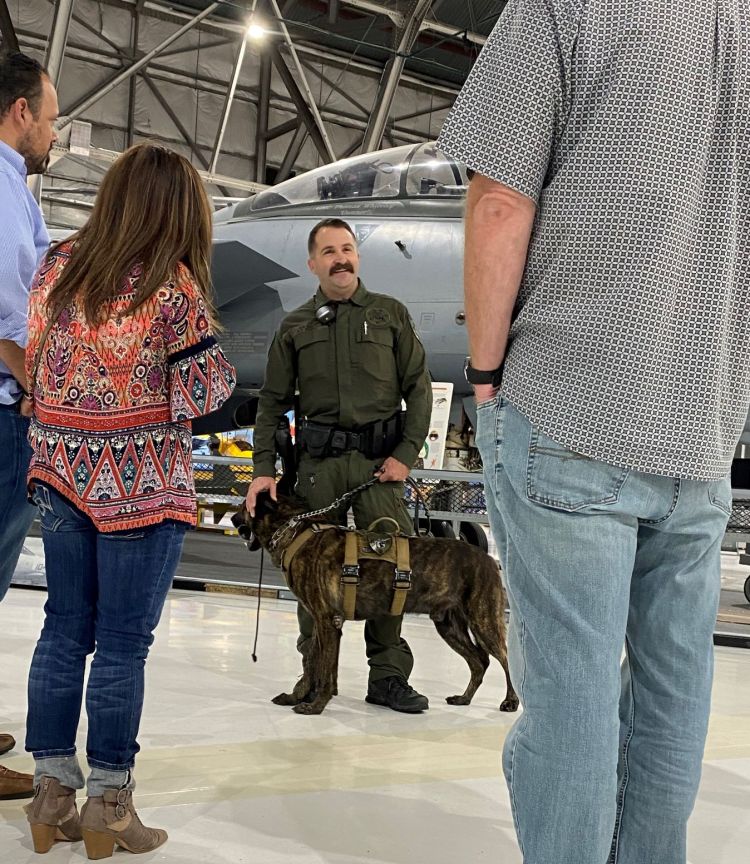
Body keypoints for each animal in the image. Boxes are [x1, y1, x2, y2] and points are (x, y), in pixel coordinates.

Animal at [234, 493, 519, 716]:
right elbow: (311, 662)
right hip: (449, 627)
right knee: (479, 661)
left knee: (505, 658)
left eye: (243, 506)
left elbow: (324, 670)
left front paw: (316, 706)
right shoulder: (320, 624)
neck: (295, 532)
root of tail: (489, 558)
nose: (234, 519)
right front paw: (297, 696)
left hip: (484, 620)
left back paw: (511, 701)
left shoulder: (328, 622)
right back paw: (464, 698)